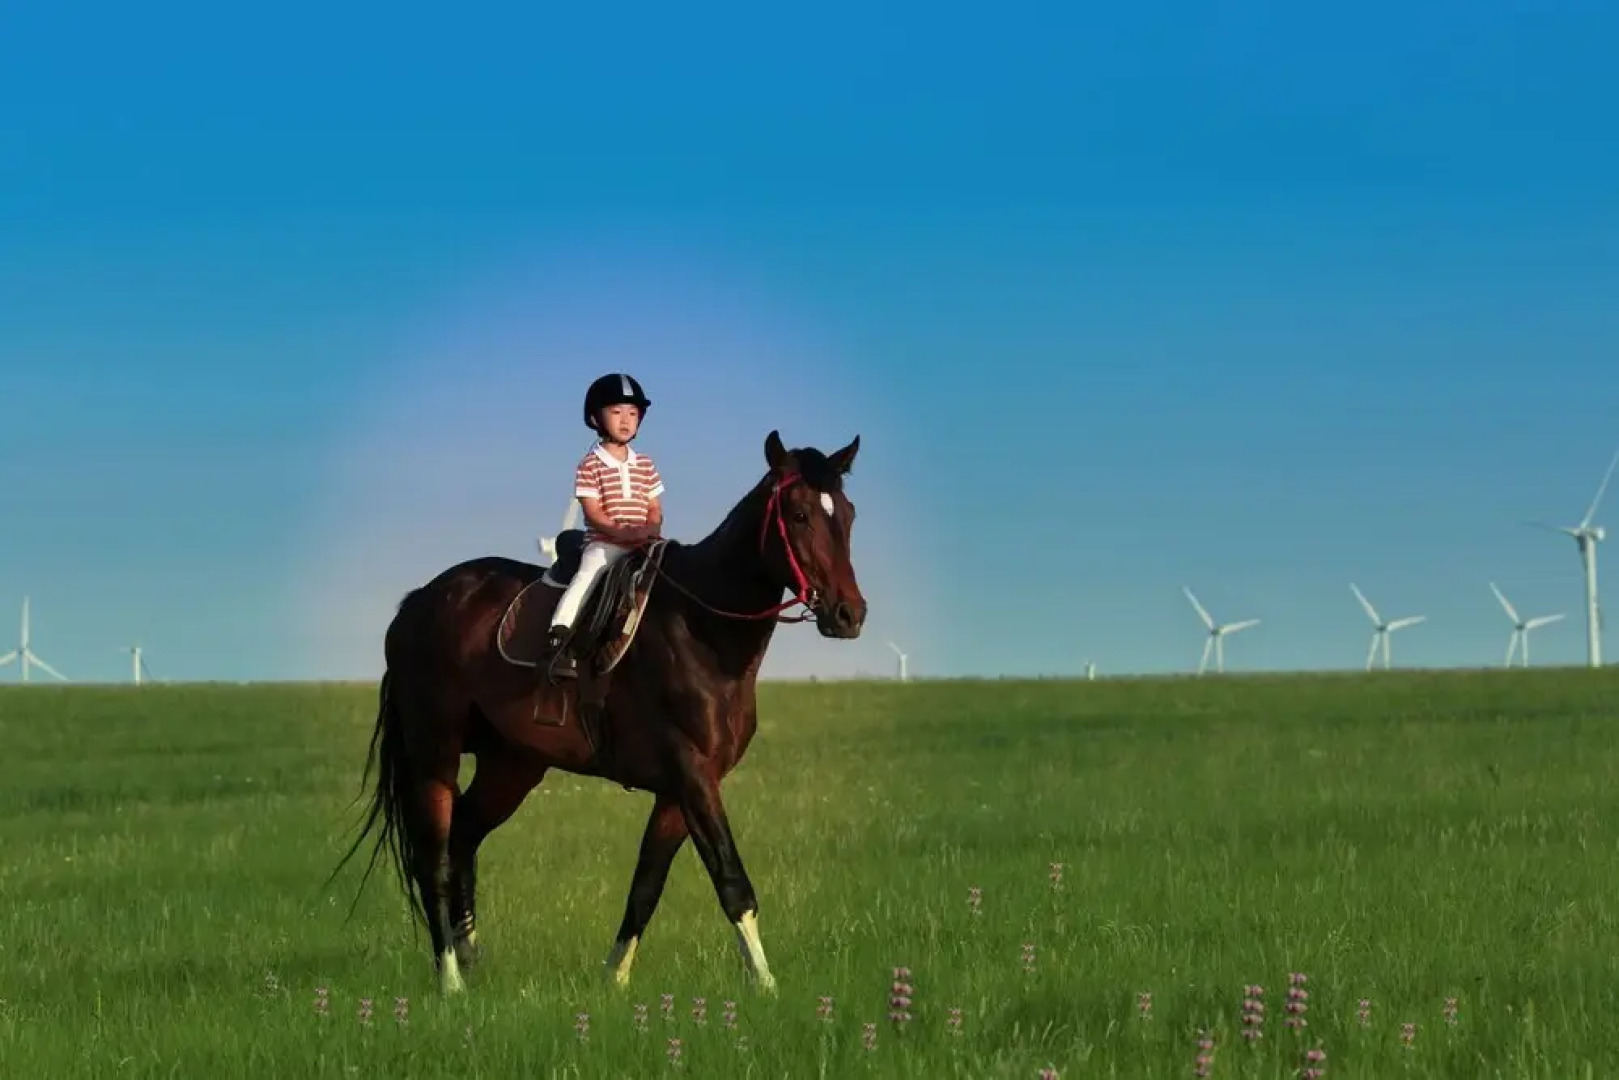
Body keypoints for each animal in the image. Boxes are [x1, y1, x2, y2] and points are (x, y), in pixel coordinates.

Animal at [330, 429, 866, 997]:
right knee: (433, 857)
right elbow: (731, 880)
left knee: (464, 839)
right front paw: (765, 985)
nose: (849, 614)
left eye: (848, 514)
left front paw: (615, 979)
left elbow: (647, 884)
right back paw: (451, 980)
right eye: (800, 514)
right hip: (435, 753)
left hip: (512, 765)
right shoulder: (693, 775)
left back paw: (471, 957)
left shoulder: (681, 790)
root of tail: (417, 602)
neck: (702, 630)